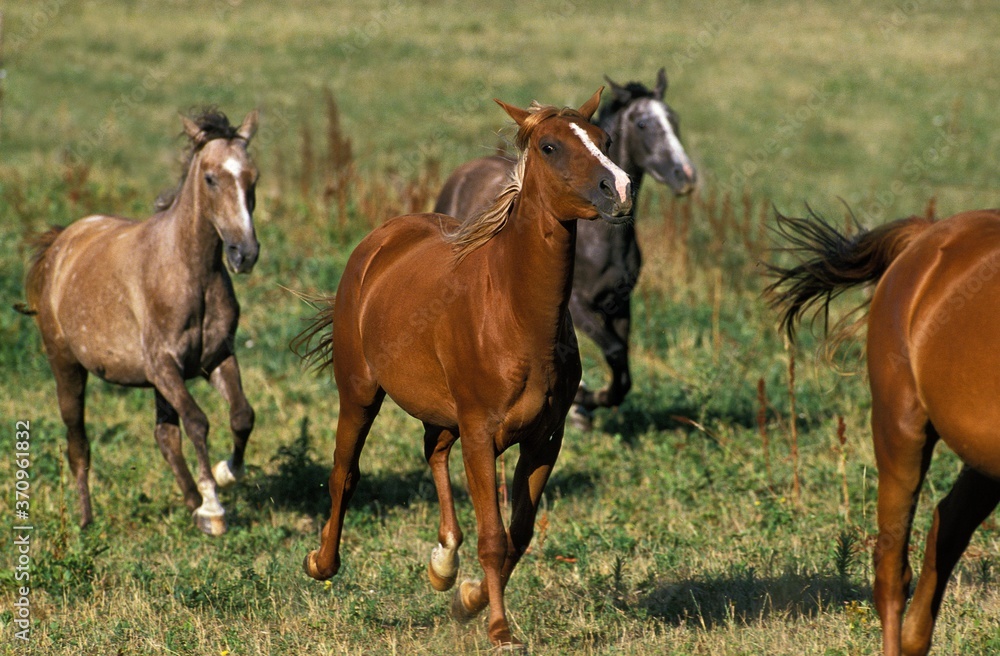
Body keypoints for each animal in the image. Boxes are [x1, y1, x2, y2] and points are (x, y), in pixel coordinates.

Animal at [16, 109, 260, 537]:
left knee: (165, 435)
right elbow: (198, 421)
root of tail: (59, 245)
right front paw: (214, 509)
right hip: (67, 366)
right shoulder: (164, 366)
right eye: (210, 178)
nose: (243, 253)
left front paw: (224, 475)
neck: (189, 271)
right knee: (78, 442)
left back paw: (191, 503)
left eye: (253, 178)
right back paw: (86, 520)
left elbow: (241, 416)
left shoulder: (215, 359)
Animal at [295, 89, 632, 650]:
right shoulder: (480, 434)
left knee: (433, 451)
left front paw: (468, 597)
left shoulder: (545, 439)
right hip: (360, 391)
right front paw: (499, 630)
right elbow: (494, 537)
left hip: (441, 410)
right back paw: (322, 562)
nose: (620, 190)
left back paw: (443, 562)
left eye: (604, 139)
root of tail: (380, 241)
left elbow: (519, 532)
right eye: (549, 146)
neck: (514, 313)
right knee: (346, 471)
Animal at [434, 69, 696, 427]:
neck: (600, 243)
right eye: (643, 124)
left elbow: (622, 369)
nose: (685, 176)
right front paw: (584, 400)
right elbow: (613, 351)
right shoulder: (579, 306)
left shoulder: (620, 304)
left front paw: (588, 402)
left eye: (673, 118)